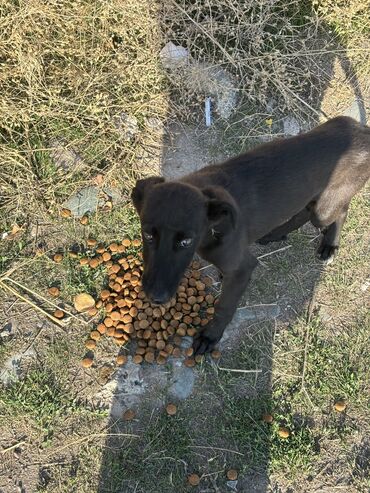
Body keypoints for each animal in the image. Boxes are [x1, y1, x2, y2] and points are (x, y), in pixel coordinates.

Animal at [132, 116, 370, 354]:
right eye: (148, 235)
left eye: (186, 241)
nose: (156, 297)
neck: (213, 226)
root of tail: (363, 130)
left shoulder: (242, 268)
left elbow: (225, 306)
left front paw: (211, 336)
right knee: (305, 209)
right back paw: (276, 233)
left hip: (325, 209)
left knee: (340, 210)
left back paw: (329, 244)